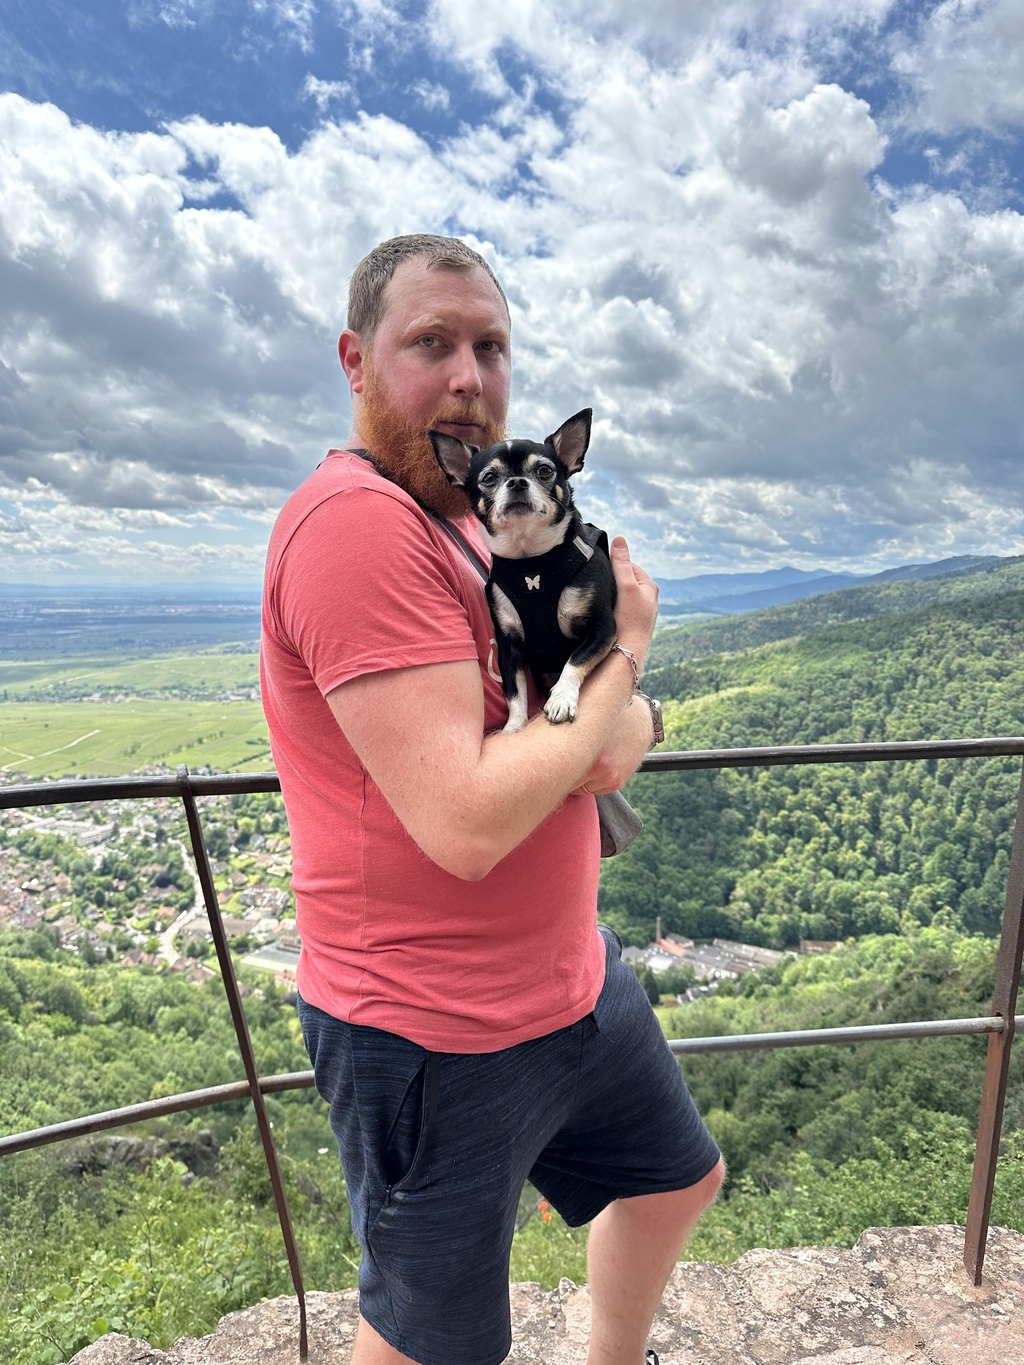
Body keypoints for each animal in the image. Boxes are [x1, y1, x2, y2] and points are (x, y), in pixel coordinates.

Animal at [429, 408, 618, 731]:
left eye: (544, 470)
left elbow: (575, 660)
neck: (531, 560)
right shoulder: (509, 647)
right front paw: (514, 727)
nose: (517, 482)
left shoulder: (602, 629)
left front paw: (561, 699)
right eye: (489, 477)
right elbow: (515, 692)